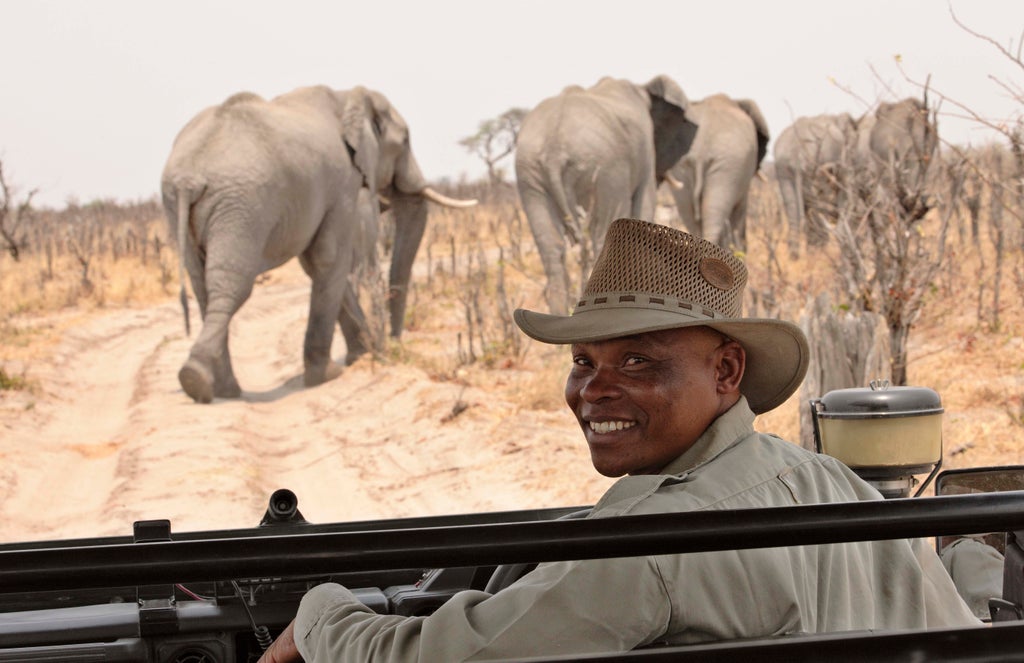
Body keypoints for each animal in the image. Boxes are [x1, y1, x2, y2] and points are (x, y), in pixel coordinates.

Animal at [161, 83, 477, 403]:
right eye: (405, 141)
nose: (393, 344)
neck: (348, 97)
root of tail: (188, 179)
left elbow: (316, 264)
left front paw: (362, 355)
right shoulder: (343, 185)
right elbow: (329, 257)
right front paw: (329, 375)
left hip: (182, 207)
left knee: (203, 285)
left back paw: (219, 388)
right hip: (241, 207)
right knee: (233, 285)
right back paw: (200, 381)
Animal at [516, 75, 692, 313]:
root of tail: (554, 148)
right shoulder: (645, 153)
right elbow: (645, 205)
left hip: (530, 174)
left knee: (552, 249)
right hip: (607, 169)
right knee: (602, 236)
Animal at [770, 111, 860, 257]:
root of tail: (797, 153)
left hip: (782, 166)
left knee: (793, 205)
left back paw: (795, 256)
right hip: (811, 166)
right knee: (813, 203)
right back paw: (816, 251)